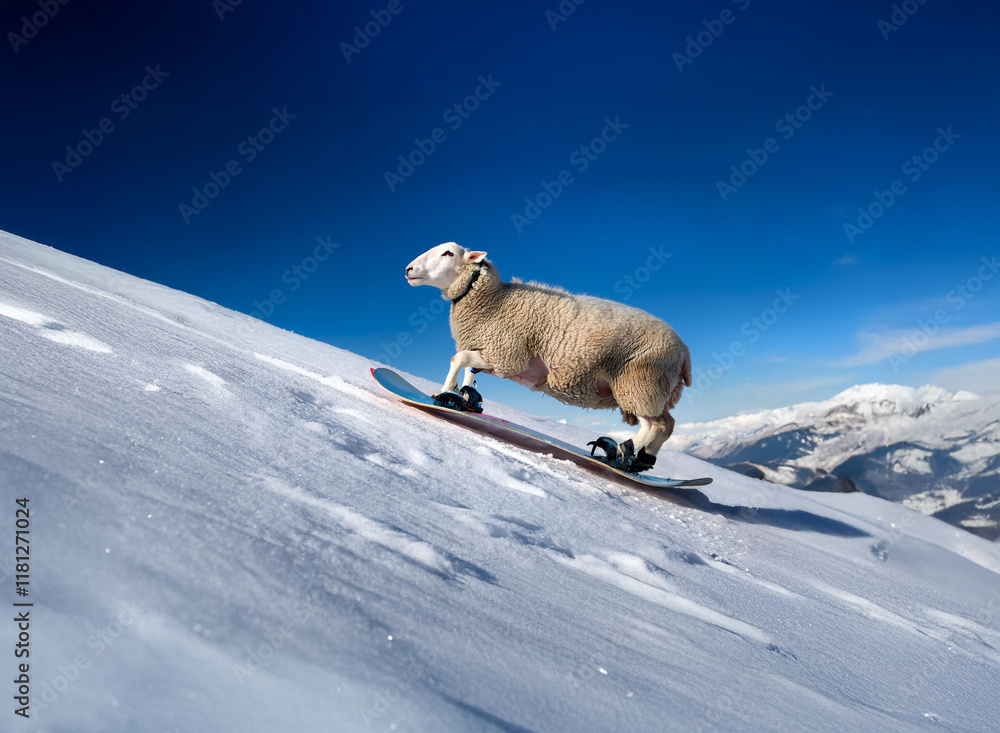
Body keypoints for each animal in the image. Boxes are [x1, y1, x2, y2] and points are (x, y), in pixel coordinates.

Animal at [403, 242, 692, 470]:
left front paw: (443, 395)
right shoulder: (491, 351)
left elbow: (458, 359)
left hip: (640, 382)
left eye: (448, 253)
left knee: (655, 426)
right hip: (655, 389)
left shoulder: (508, 354)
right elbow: (468, 370)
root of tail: (685, 352)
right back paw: (642, 460)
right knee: (668, 424)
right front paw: (464, 398)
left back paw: (622, 454)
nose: (408, 269)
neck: (495, 301)